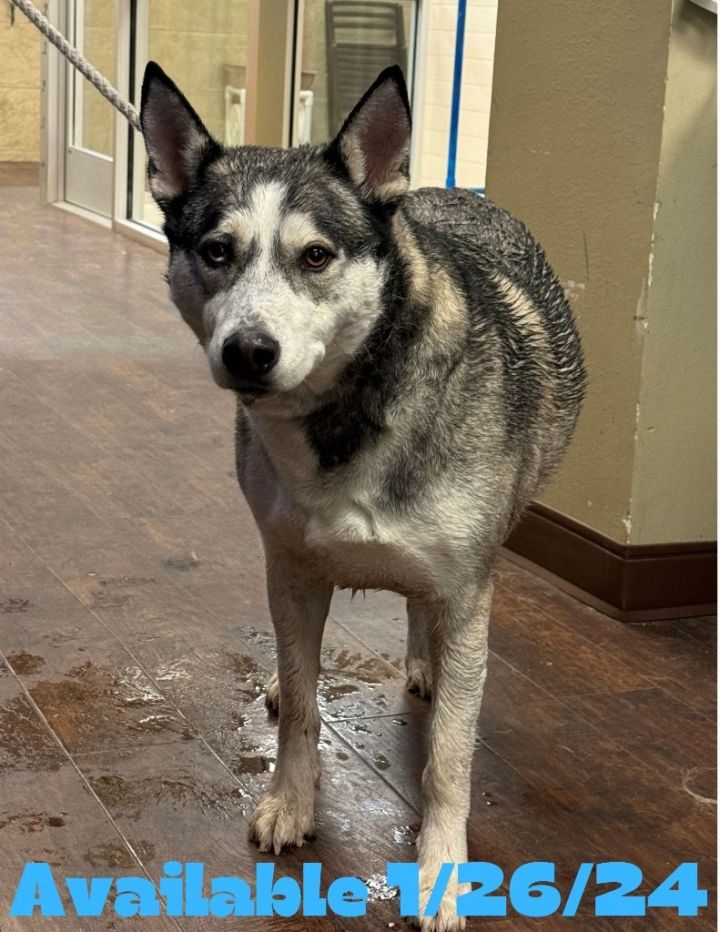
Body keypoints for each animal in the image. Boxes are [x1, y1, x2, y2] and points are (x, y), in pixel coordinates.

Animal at [141, 62, 584, 928]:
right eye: (216, 251)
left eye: (316, 256)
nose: (248, 352)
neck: (348, 411)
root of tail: (441, 191)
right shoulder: (289, 569)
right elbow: (304, 706)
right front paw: (293, 799)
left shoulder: (467, 588)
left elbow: (449, 757)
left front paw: (442, 868)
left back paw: (428, 664)